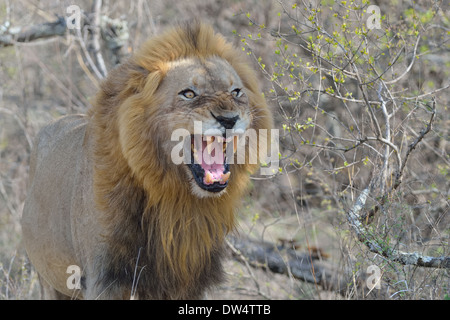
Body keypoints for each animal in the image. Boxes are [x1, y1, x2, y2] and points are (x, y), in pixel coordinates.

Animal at [21, 21, 272, 298]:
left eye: (236, 92)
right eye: (189, 94)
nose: (229, 119)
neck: (176, 199)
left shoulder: (184, 280)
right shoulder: (105, 278)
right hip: (49, 280)